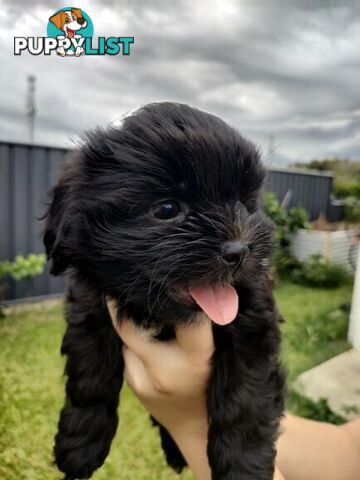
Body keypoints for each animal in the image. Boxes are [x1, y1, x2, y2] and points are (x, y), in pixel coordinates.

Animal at [44, 102, 284, 480]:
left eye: (246, 206)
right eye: (167, 209)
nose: (239, 250)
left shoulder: (254, 323)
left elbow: (244, 399)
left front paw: (243, 469)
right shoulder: (90, 309)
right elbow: (89, 378)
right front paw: (80, 445)